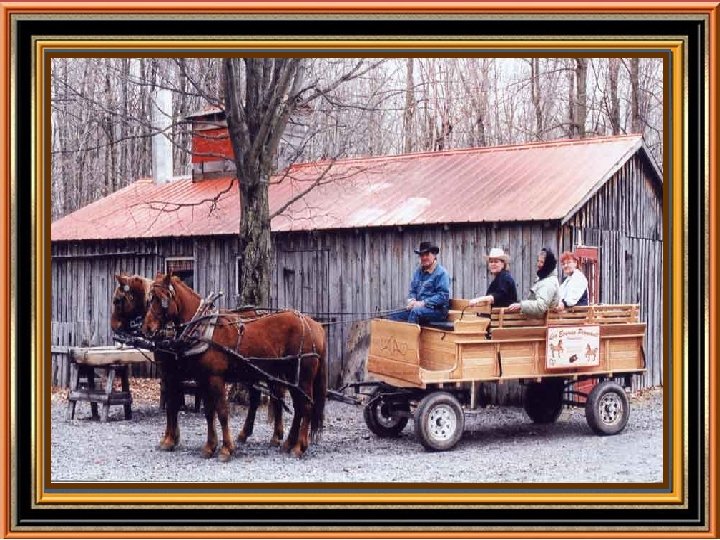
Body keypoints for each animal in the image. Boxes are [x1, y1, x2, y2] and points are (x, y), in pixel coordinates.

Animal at [111, 274, 286, 452]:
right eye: (148, 300)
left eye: (117, 300)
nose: (113, 326)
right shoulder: (175, 374)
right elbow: (175, 405)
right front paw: (172, 438)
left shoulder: (173, 373)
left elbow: (173, 405)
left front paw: (170, 439)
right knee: (263, 397)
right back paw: (251, 434)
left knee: (275, 395)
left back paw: (274, 436)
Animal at [142, 274, 328, 460]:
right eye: (150, 299)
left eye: (163, 298)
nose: (146, 328)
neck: (203, 329)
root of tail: (315, 325)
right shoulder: (202, 379)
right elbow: (208, 412)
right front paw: (210, 446)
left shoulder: (215, 378)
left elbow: (222, 412)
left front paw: (226, 449)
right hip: (290, 375)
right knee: (297, 407)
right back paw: (289, 443)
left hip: (302, 376)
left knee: (305, 406)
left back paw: (299, 447)